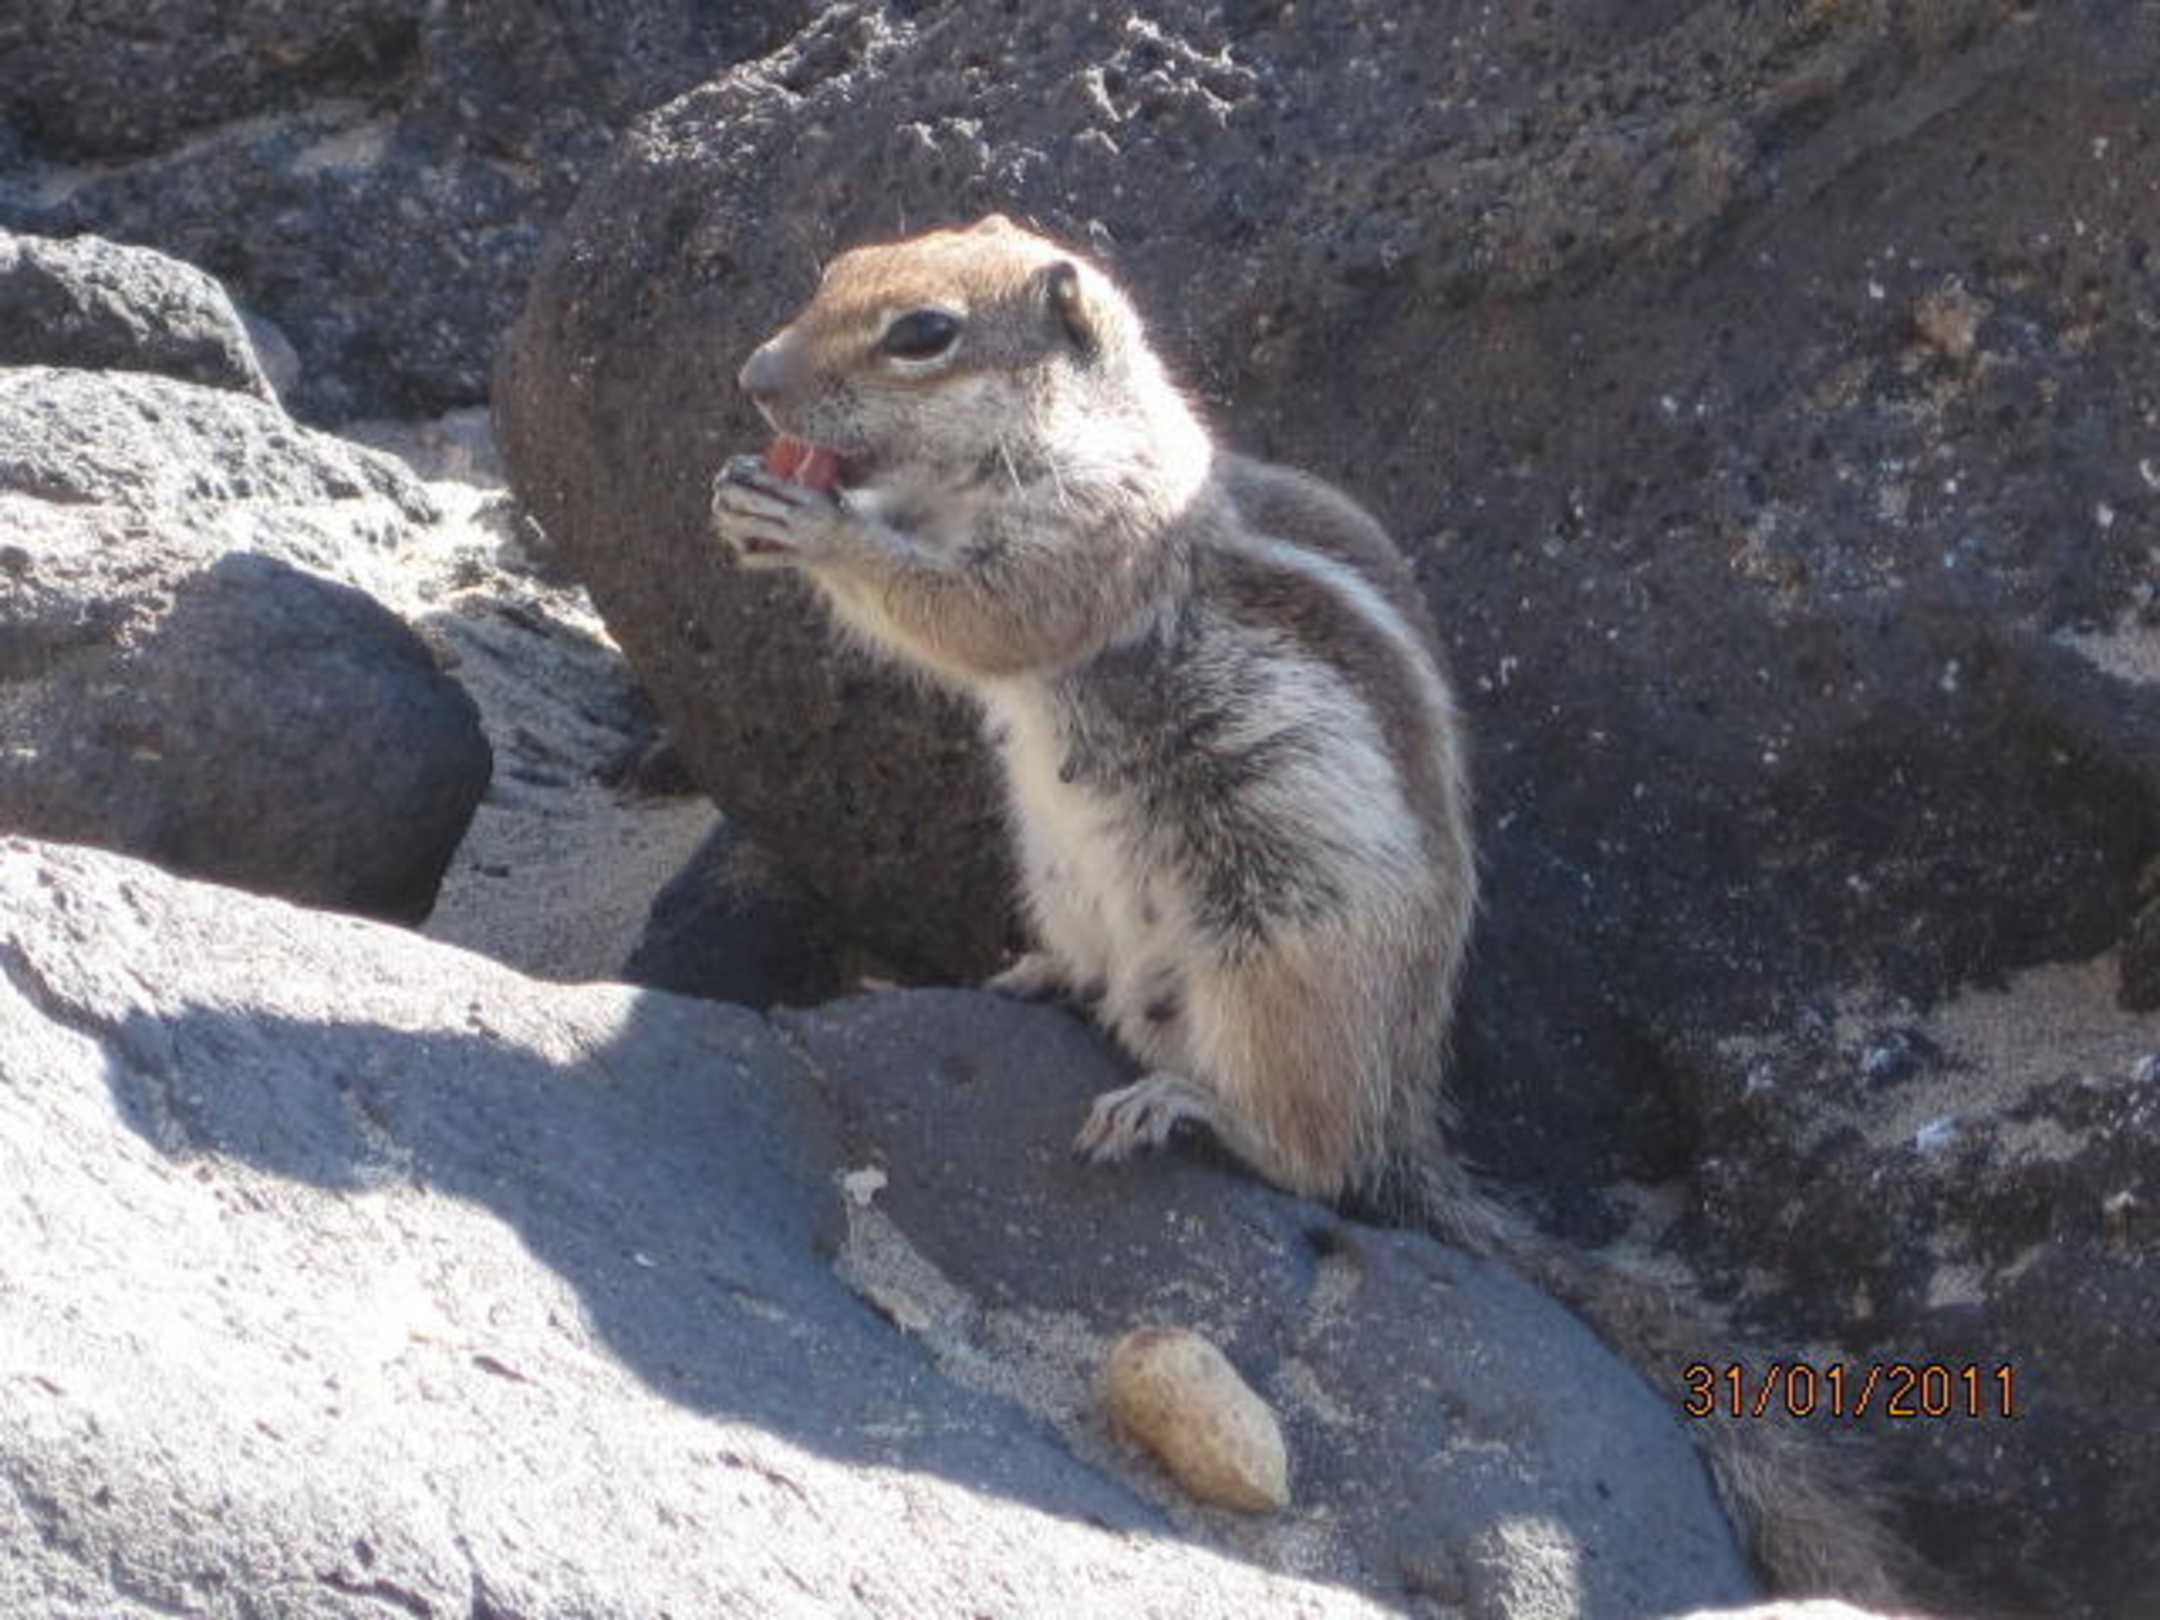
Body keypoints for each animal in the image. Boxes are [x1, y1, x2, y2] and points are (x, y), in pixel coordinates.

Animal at [711, 214, 1919, 1611]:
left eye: (924, 334)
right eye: (834, 271)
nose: (754, 379)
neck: (1050, 443)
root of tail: (1406, 1112)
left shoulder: (1094, 539)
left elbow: (980, 616)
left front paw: (816, 527)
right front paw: (750, 499)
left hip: (1276, 970)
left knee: (1315, 1160)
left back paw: (1182, 1103)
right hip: (1073, 884)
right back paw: (1032, 976)